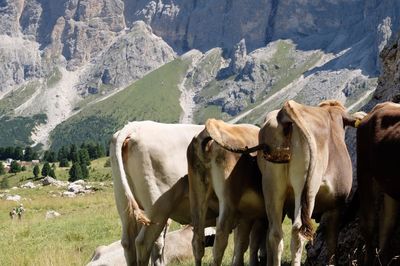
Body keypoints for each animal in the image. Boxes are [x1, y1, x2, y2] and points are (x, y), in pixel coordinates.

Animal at [188, 120, 266, 266]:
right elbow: (254, 242)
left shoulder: (247, 216)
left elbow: (242, 243)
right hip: (228, 200)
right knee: (220, 238)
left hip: (197, 195)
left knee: (197, 241)